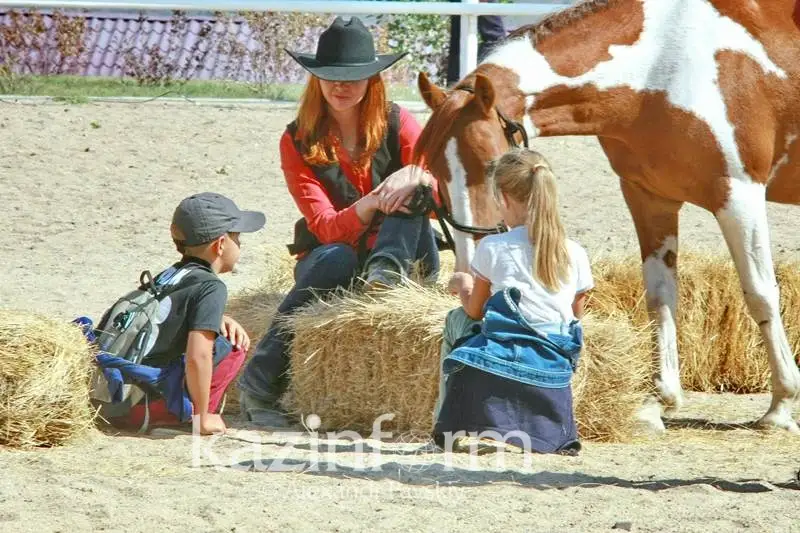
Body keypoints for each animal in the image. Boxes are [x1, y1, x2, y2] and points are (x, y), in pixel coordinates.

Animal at [416, 0, 800, 432]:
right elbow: (660, 297)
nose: (467, 275)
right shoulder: (648, 198)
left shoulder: (738, 194)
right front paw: (659, 400)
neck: (661, 67)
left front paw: (781, 405)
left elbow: (761, 293)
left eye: (491, 163)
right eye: (435, 167)